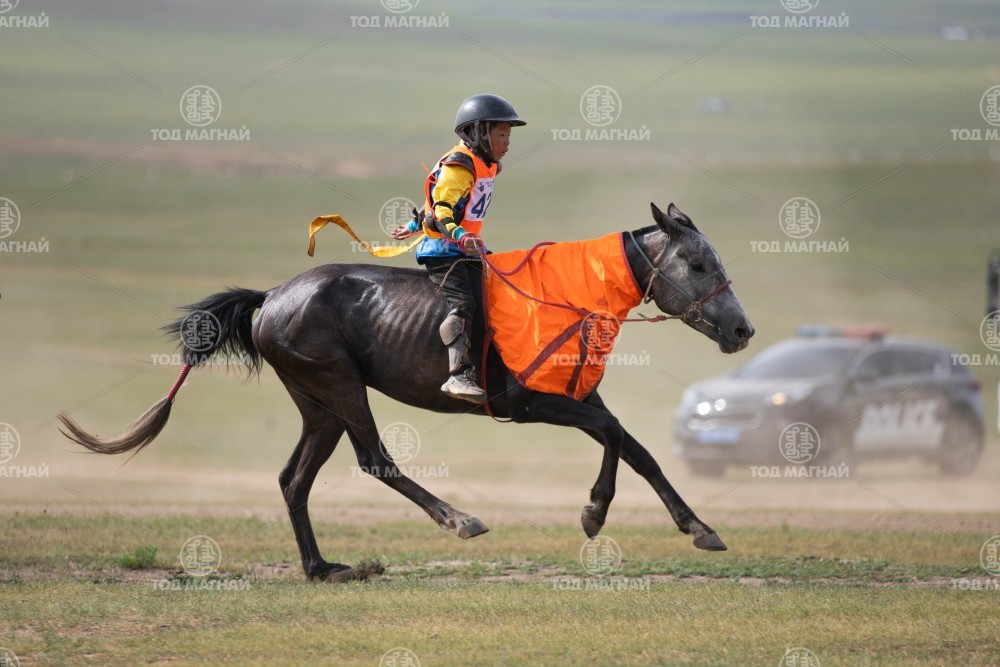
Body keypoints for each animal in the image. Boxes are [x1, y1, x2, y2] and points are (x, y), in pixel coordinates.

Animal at [59, 202, 754, 582]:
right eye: (697, 264)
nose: (743, 329)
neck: (569, 295)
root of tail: (271, 298)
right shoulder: (528, 404)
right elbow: (613, 437)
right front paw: (593, 512)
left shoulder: (581, 397)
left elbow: (637, 448)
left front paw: (699, 527)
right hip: (339, 385)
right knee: (374, 459)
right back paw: (459, 519)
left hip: (318, 403)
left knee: (294, 478)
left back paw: (324, 568)